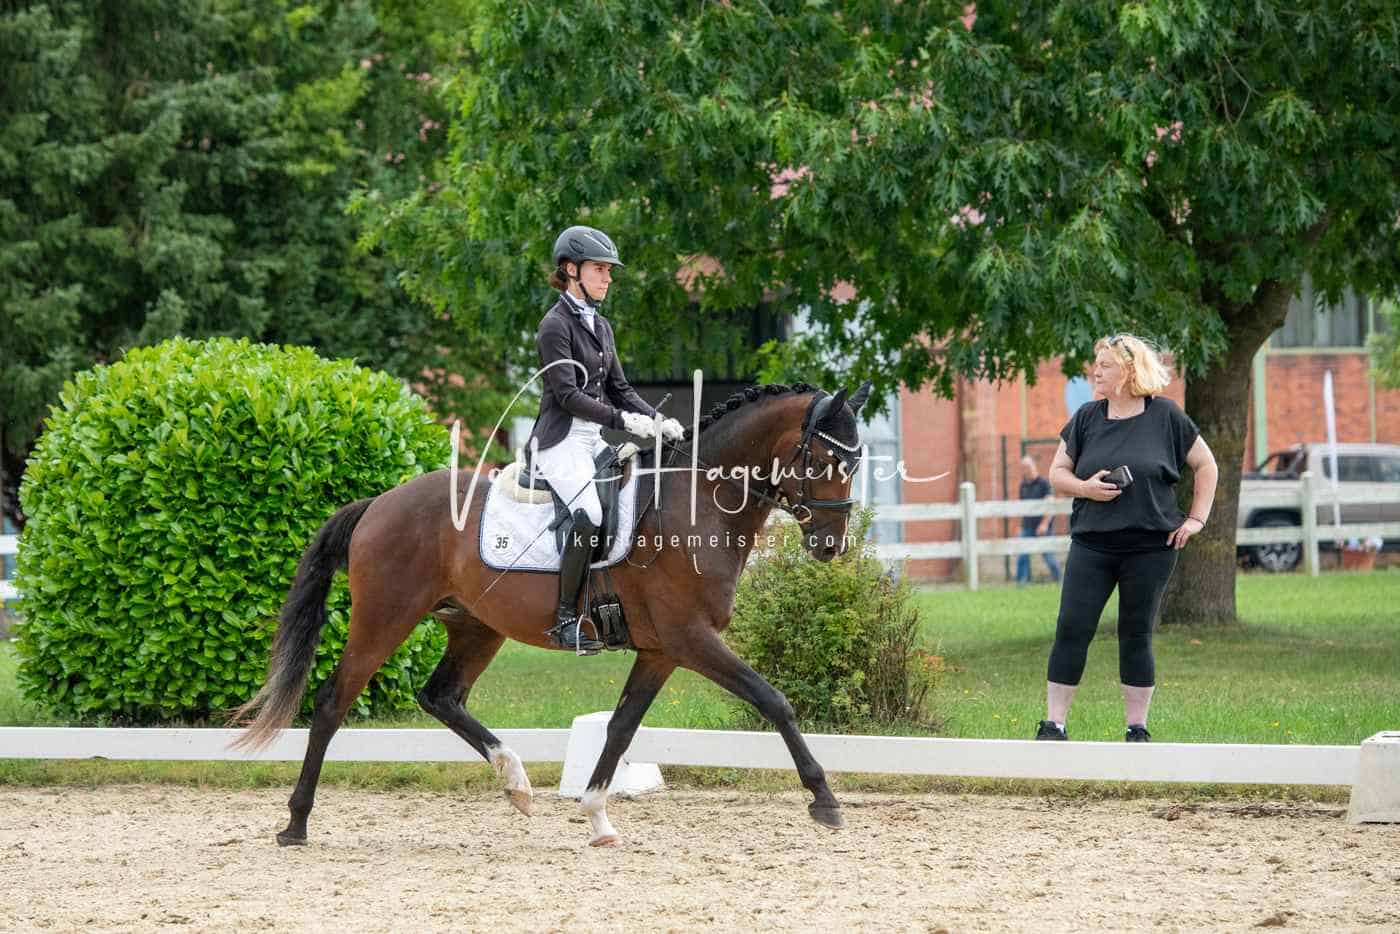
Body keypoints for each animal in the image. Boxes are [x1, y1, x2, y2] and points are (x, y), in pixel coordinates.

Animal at [231, 380, 872, 846]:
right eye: (822, 457)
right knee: (332, 702)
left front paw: (597, 816)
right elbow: (774, 700)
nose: (831, 545)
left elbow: (620, 727)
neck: (695, 502)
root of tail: (379, 503)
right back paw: (296, 824)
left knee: (441, 696)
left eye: (858, 460)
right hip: (384, 618)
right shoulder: (691, 639)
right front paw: (824, 801)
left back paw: (515, 781)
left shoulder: (661, 650)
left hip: (475, 626)